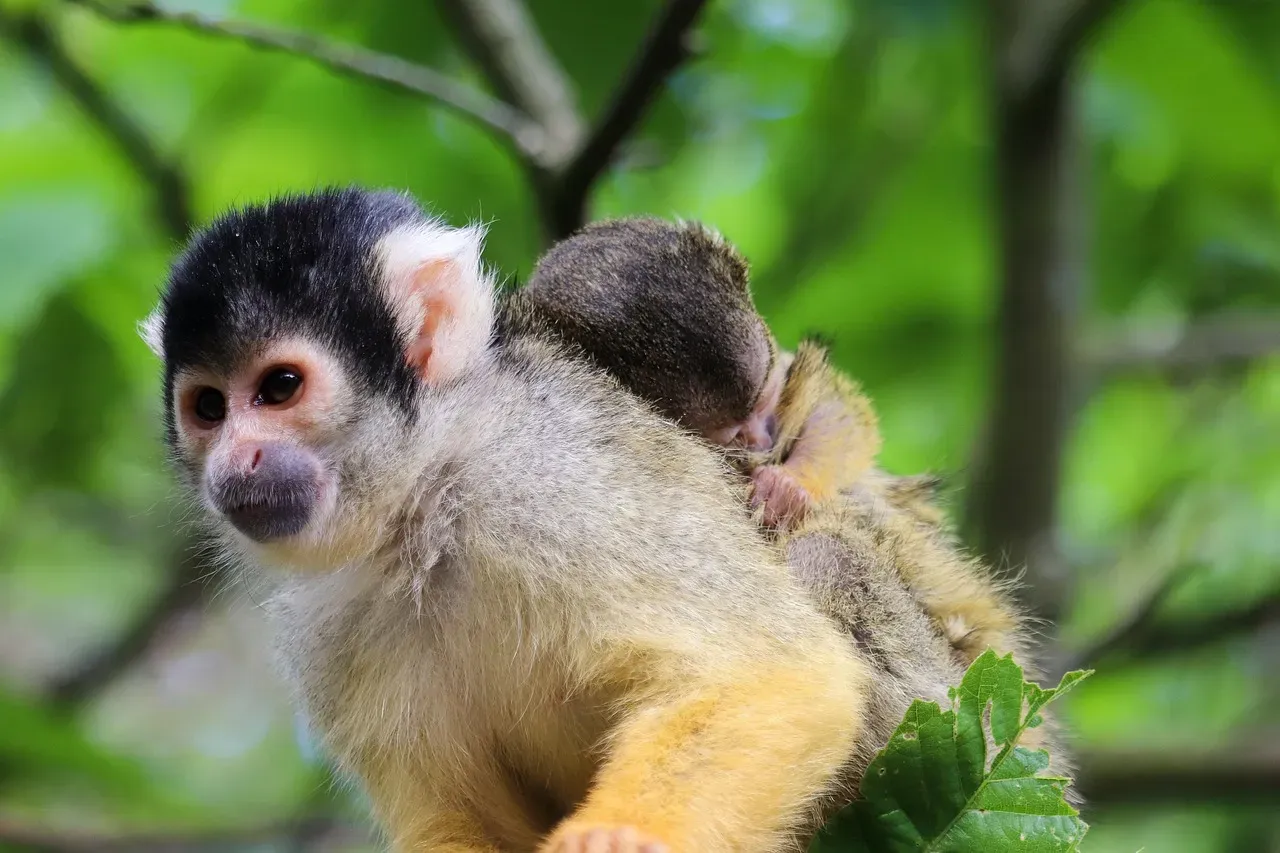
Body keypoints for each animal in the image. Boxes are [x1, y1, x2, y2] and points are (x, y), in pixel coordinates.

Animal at [139, 187, 876, 853]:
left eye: (280, 387)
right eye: (209, 407)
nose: (235, 459)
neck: (428, 510)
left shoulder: (561, 478)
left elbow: (772, 676)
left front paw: (615, 838)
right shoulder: (328, 635)